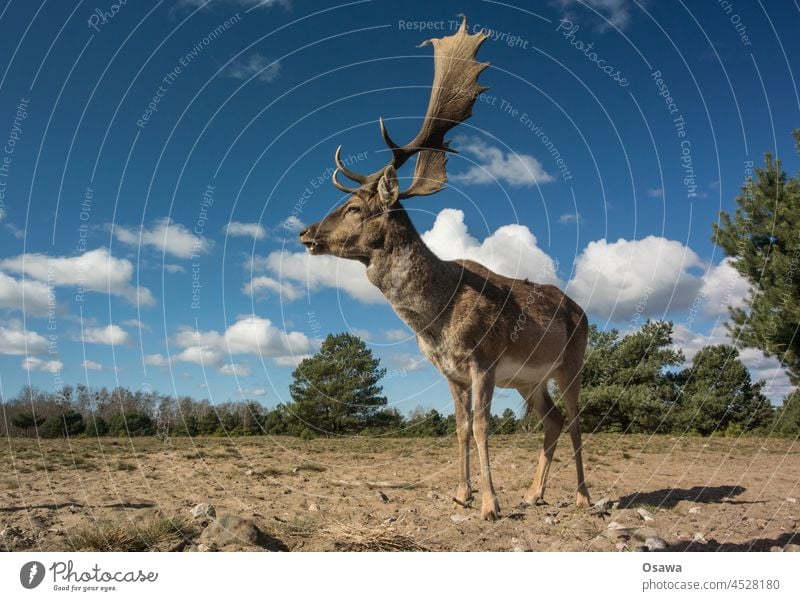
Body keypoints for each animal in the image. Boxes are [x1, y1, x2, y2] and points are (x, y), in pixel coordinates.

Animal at [296, 16, 592, 516]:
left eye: (354, 207)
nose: (305, 233)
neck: (436, 319)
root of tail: (584, 312)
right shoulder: (449, 371)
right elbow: (459, 427)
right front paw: (461, 493)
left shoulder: (484, 359)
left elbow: (483, 427)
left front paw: (490, 505)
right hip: (529, 380)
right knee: (551, 422)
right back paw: (533, 493)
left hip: (571, 362)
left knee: (575, 420)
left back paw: (583, 496)